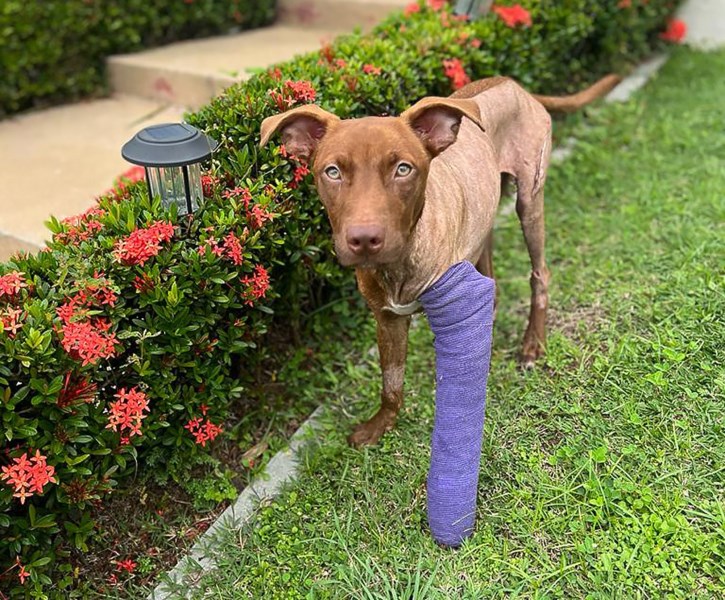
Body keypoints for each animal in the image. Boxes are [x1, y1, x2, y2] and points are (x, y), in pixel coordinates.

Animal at [260, 75, 616, 446]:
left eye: (403, 169)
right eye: (332, 172)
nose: (364, 240)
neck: (401, 263)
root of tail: (513, 84)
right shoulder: (387, 319)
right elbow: (391, 384)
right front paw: (381, 425)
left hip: (529, 199)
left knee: (540, 272)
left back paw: (533, 343)